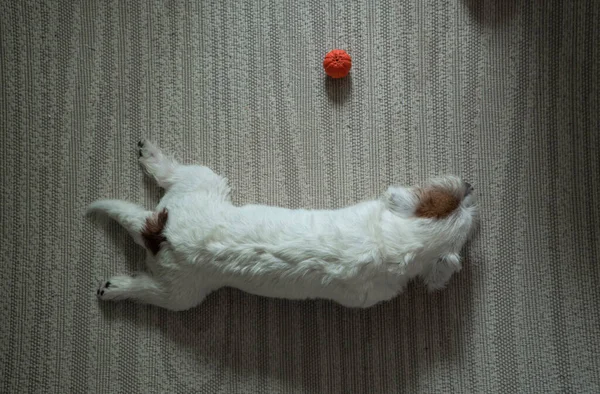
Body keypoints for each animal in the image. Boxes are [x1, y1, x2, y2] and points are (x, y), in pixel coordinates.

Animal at [86, 142, 476, 310]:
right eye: (450, 198)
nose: (471, 185)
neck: (394, 242)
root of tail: (160, 230)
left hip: (191, 219)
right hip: (184, 292)